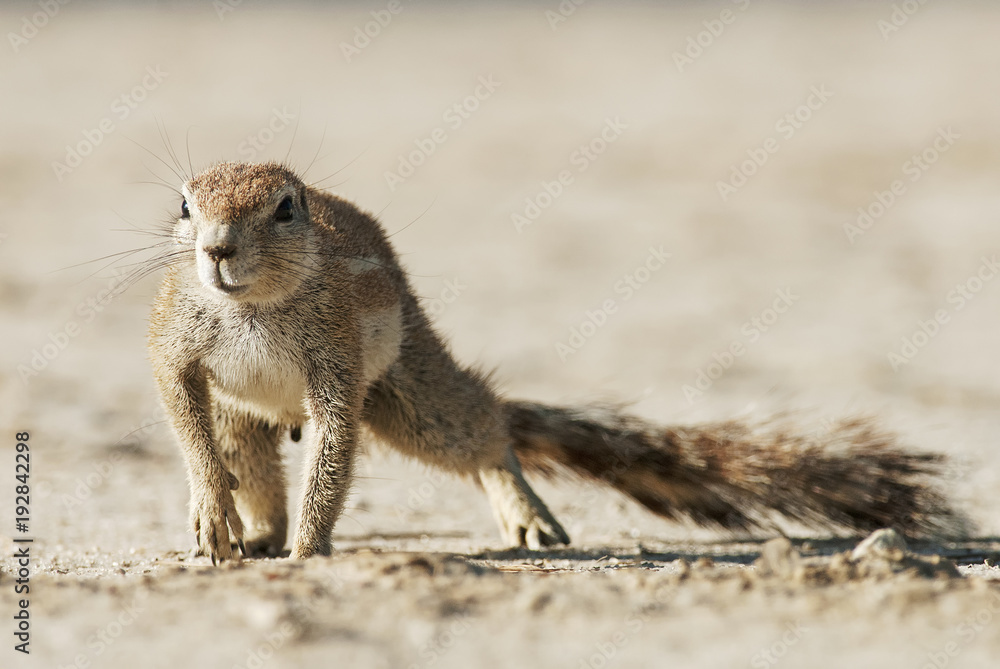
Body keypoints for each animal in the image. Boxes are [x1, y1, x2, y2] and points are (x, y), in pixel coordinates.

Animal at [147, 161, 963, 563]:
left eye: (286, 207)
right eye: (185, 206)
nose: (216, 249)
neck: (253, 305)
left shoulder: (340, 368)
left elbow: (331, 456)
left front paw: (312, 550)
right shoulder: (174, 340)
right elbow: (184, 412)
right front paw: (212, 514)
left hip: (413, 395)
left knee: (486, 432)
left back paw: (528, 512)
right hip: (245, 414)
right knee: (247, 460)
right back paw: (254, 533)